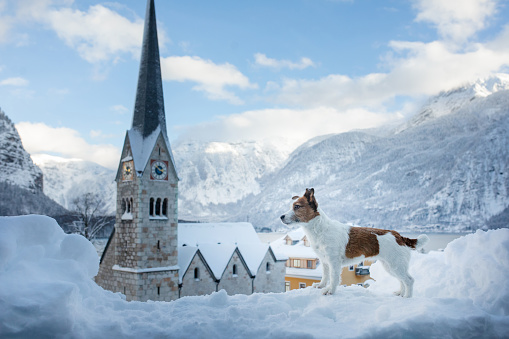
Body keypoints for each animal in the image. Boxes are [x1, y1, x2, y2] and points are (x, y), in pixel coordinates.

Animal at [280, 189, 426, 298]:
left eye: (297, 207)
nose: (281, 216)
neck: (319, 228)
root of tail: (400, 236)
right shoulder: (324, 261)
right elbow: (325, 275)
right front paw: (321, 285)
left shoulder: (333, 261)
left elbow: (333, 277)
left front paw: (330, 291)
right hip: (390, 266)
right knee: (402, 280)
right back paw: (400, 293)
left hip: (396, 265)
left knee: (409, 280)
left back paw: (407, 297)